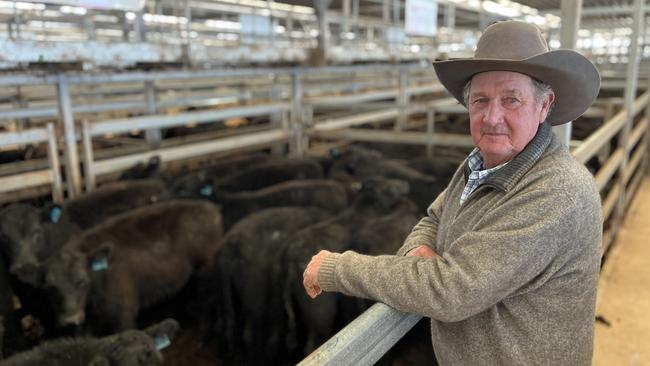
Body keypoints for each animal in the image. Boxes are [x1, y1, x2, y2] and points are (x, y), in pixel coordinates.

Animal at [22, 200, 223, 334]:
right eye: (49, 287)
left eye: (82, 282)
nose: (70, 319)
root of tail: (209, 208)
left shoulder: (122, 316)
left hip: (206, 270)